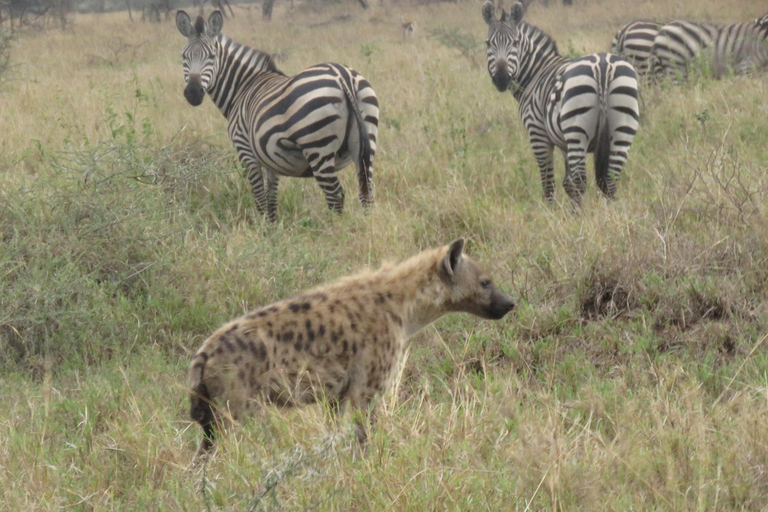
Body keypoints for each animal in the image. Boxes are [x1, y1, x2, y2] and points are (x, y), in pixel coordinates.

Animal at [175, 8, 378, 220]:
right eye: (184, 56)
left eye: (212, 56)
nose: (193, 93)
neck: (243, 87)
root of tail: (342, 76)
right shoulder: (270, 158)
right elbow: (271, 199)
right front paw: (271, 225)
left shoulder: (245, 149)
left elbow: (259, 198)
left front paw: (261, 226)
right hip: (365, 143)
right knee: (367, 193)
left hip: (317, 146)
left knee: (335, 195)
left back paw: (333, 227)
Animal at [484, 0, 640, 204]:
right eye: (488, 43)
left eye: (515, 43)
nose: (501, 79)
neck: (535, 73)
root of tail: (603, 66)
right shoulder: (565, 143)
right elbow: (568, 182)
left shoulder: (538, 133)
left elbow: (549, 183)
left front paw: (550, 210)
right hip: (622, 129)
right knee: (610, 180)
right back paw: (609, 211)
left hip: (577, 130)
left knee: (582, 181)